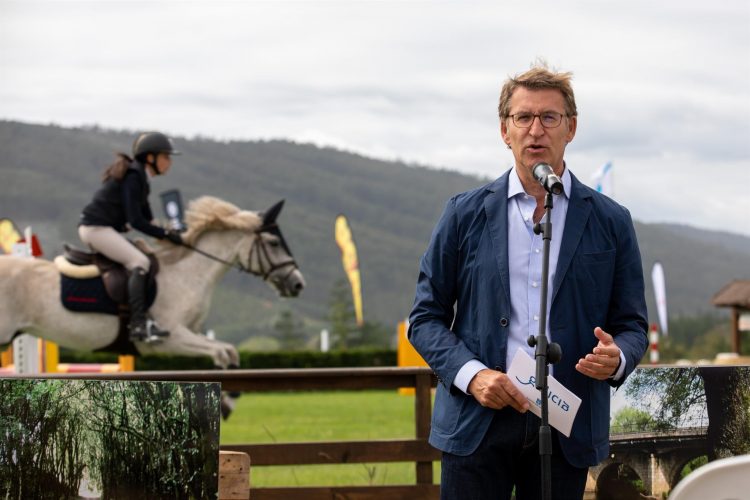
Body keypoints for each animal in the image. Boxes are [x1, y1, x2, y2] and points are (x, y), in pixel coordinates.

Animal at [0, 195, 306, 368]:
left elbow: (228, 352)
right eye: (274, 242)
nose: (298, 284)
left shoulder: (191, 333)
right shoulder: (171, 339)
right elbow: (222, 352)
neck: (188, 273)